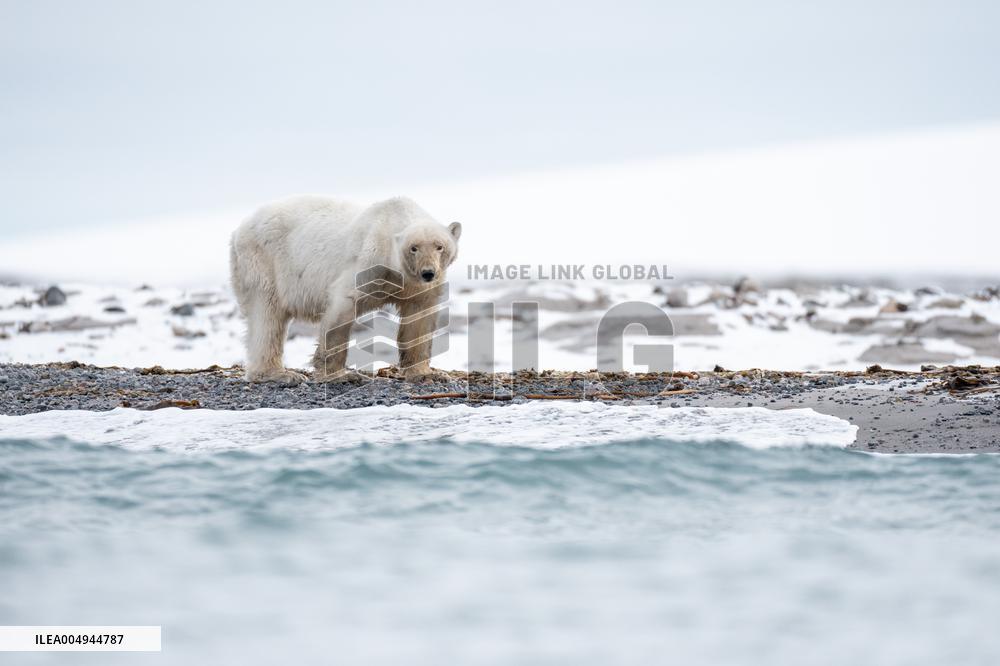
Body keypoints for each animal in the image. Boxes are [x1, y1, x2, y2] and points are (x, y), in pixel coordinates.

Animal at [229, 195, 461, 384]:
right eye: (414, 248)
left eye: (440, 246)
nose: (428, 272)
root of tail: (239, 229)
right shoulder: (370, 262)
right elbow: (343, 305)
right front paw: (340, 375)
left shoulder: (417, 288)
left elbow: (418, 320)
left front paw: (427, 374)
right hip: (265, 262)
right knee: (267, 314)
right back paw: (279, 374)